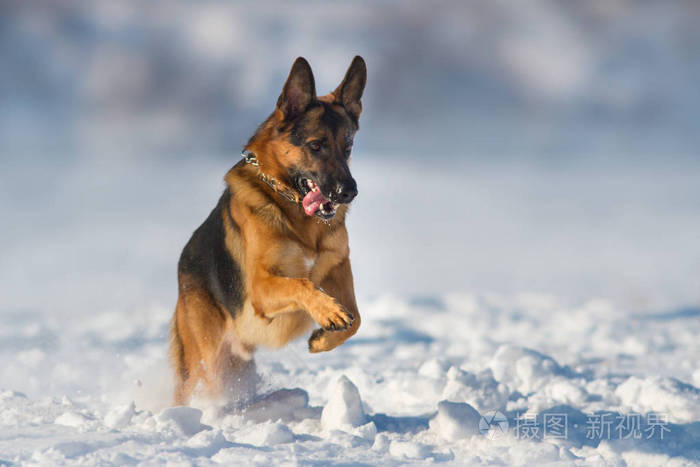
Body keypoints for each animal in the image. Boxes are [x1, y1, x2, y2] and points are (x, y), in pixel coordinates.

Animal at [170, 56, 366, 404]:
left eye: (348, 147)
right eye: (316, 146)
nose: (348, 192)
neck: (299, 218)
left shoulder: (339, 265)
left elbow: (355, 317)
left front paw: (323, 336)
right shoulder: (261, 289)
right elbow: (302, 283)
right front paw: (327, 310)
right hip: (206, 360)